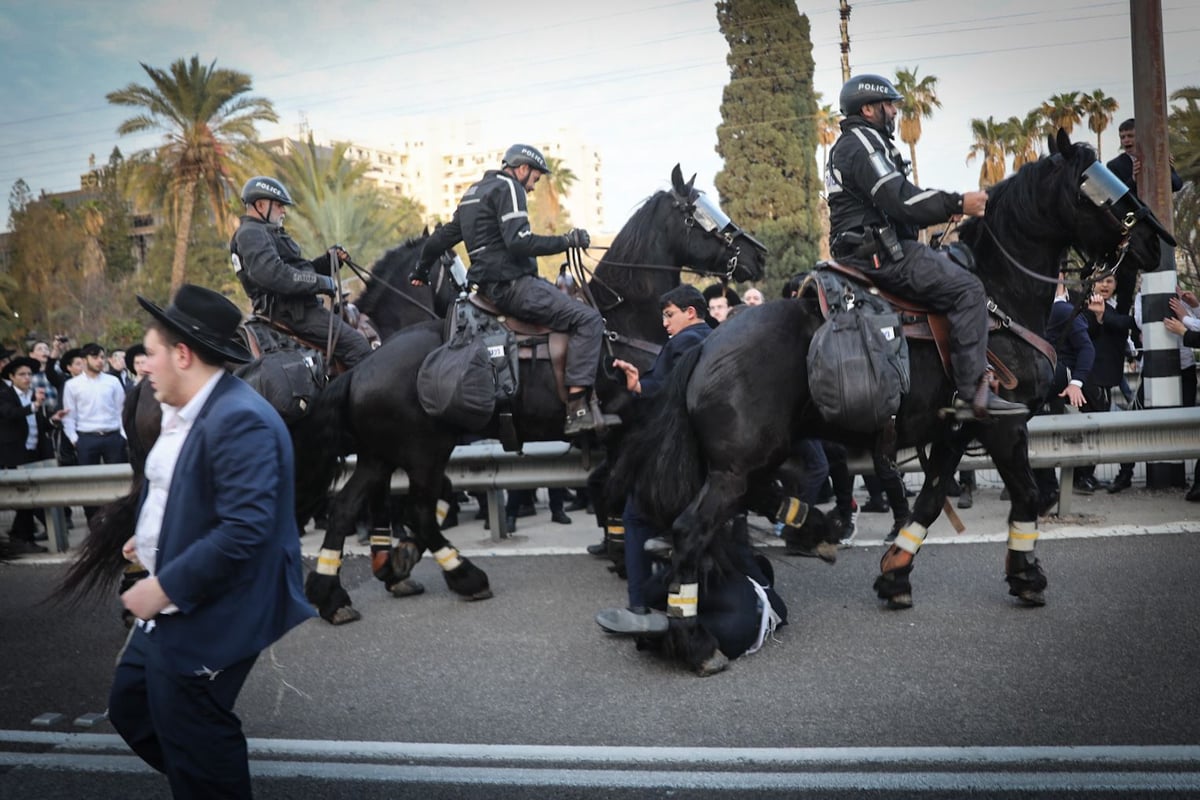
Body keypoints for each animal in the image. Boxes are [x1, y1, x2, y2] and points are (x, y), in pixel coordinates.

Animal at [300, 164, 768, 623]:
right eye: (702, 216)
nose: (758, 254)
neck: (621, 321)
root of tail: (361, 368)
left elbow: (607, 488)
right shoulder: (630, 429)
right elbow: (615, 489)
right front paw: (624, 553)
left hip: (380, 454)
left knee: (346, 508)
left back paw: (332, 594)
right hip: (422, 451)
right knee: (417, 510)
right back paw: (465, 576)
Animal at [609, 131, 1161, 676]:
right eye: (1102, 191)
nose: (1155, 244)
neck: (998, 297)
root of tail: (705, 345)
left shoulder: (955, 430)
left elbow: (930, 500)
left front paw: (895, 574)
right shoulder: (1005, 425)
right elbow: (1024, 493)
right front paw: (1026, 575)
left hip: (754, 457)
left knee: (752, 500)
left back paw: (812, 529)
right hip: (736, 467)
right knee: (690, 531)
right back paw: (696, 639)